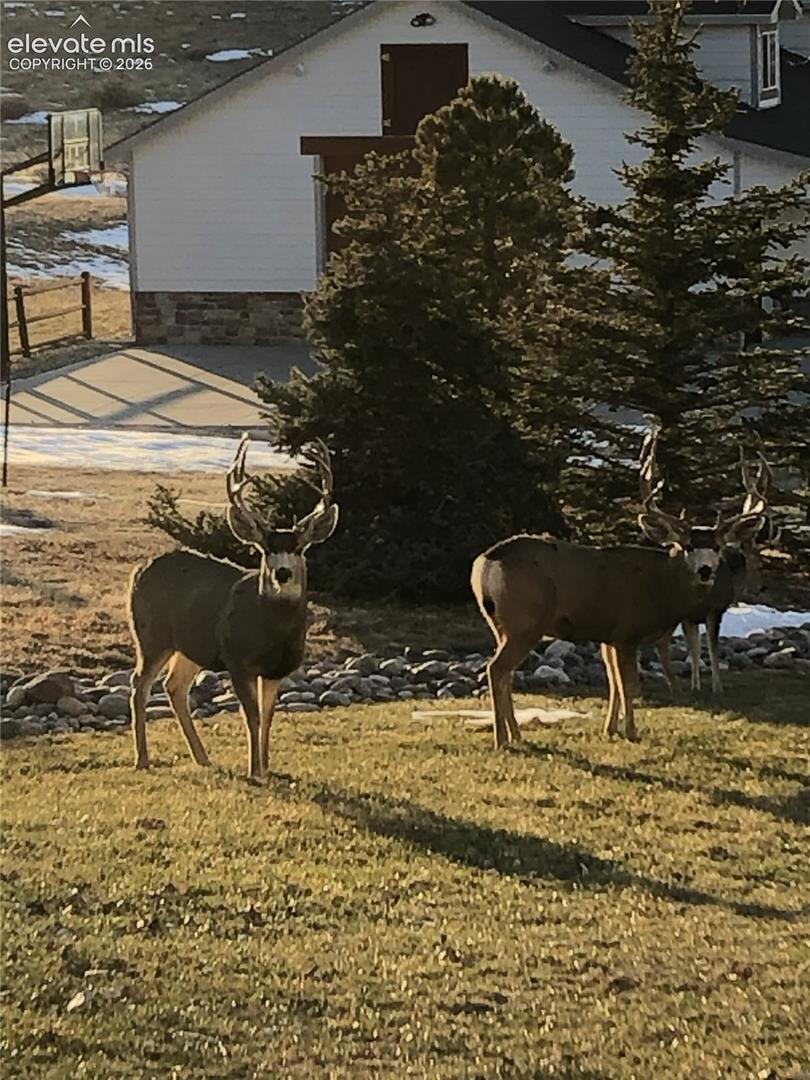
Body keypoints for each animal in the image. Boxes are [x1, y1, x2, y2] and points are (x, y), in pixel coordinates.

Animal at [128, 434, 338, 779]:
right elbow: (251, 716)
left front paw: (266, 766)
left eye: (298, 548)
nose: (282, 573)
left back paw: (202, 758)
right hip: (151, 635)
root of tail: (139, 569)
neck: (273, 632)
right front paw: (254, 771)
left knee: (174, 686)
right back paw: (142, 759)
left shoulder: (276, 669)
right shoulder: (237, 660)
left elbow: (268, 717)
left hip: (191, 645)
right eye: (265, 549)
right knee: (139, 684)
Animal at [471, 432, 766, 747]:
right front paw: (631, 731)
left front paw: (610, 728)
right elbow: (628, 684)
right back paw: (502, 739)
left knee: (505, 673)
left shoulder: (609, 635)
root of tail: (485, 563)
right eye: (687, 546)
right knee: (497, 669)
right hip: (525, 621)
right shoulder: (627, 631)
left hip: (499, 624)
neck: (661, 587)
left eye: (718, 547)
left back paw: (516, 734)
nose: (706, 570)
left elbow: (613, 682)